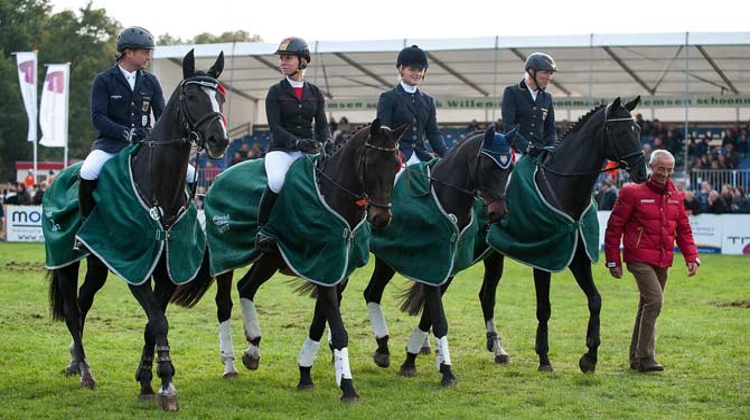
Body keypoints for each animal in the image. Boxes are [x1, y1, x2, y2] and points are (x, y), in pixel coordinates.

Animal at [45, 49, 228, 410]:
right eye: (191, 96)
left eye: (220, 98)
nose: (220, 140)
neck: (160, 190)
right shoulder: (136, 270)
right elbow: (158, 321)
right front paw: (167, 385)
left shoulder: (167, 272)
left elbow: (151, 324)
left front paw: (146, 381)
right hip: (65, 262)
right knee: (72, 311)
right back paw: (86, 373)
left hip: (99, 263)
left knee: (84, 303)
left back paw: (75, 361)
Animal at [171, 120, 408, 402]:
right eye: (370, 163)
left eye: (396, 164)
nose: (381, 218)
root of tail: (219, 177)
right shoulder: (323, 268)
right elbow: (338, 330)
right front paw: (348, 387)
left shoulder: (334, 271)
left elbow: (319, 323)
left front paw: (305, 373)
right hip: (226, 255)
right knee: (224, 304)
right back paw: (229, 364)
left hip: (269, 259)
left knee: (246, 287)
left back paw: (253, 348)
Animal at [360, 126, 516, 386]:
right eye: (487, 166)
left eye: (509, 168)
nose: (499, 212)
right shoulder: (431, 263)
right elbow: (439, 319)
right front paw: (446, 371)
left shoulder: (444, 269)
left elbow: (429, 316)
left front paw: (410, 359)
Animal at [482, 97, 652, 372]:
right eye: (618, 131)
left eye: (637, 130)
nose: (642, 173)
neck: (561, 186)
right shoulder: (543, 258)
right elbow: (544, 308)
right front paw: (544, 359)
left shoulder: (578, 256)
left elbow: (595, 300)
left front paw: (589, 357)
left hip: (493, 254)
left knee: (486, 296)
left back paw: (497, 349)